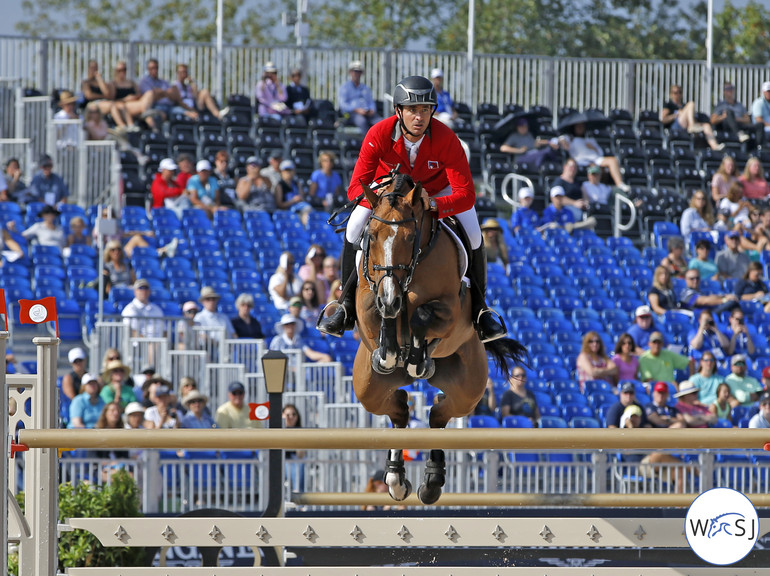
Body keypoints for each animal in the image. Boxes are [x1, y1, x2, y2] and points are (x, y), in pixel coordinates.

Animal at [350, 171, 524, 504]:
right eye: (372, 236)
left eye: (410, 238)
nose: (390, 298)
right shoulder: (368, 303)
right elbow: (378, 316)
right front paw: (389, 351)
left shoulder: (451, 311)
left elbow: (422, 316)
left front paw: (416, 359)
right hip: (369, 389)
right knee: (399, 409)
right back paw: (395, 478)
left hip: (467, 390)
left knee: (438, 414)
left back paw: (430, 482)